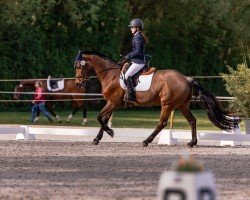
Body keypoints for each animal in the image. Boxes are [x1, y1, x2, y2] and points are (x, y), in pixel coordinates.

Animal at [74, 50, 238, 147]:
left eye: (79, 66)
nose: (77, 83)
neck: (111, 74)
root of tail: (186, 78)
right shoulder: (111, 103)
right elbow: (104, 119)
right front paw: (98, 138)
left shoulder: (113, 103)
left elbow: (99, 117)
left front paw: (110, 132)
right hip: (182, 106)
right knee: (192, 121)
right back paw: (192, 143)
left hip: (167, 104)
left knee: (162, 123)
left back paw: (146, 141)